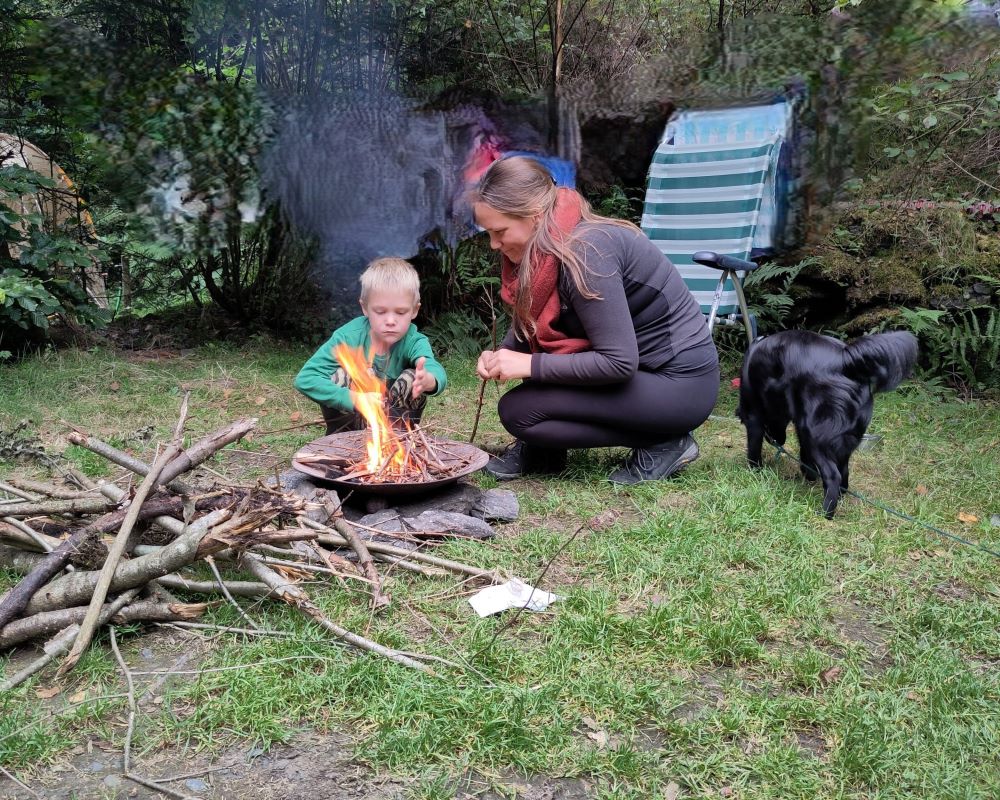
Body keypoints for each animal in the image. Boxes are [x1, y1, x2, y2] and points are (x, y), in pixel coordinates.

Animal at [740, 330, 916, 520]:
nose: (774, 440)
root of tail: (845, 359)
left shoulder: (754, 415)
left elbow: (754, 446)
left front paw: (755, 470)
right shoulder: (799, 423)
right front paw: (809, 474)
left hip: (816, 437)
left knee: (833, 475)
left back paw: (825, 513)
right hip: (842, 437)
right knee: (844, 469)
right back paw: (841, 494)